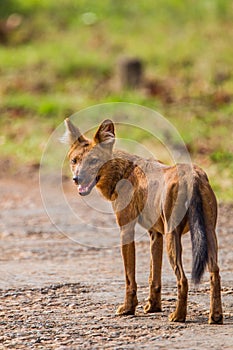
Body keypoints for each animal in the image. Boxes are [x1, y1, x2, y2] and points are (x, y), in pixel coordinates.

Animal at [62, 118, 223, 326]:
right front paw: (153, 307)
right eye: (74, 161)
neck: (122, 172)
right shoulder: (156, 234)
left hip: (173, 237)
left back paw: (178, 316)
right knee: (215, 274)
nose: (77, 179)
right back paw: (216, 316)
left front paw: (128, 309)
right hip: (209, 234)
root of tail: (193, 175)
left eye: (94, 161)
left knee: (183, 279)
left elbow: (130, 276)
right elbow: (154, 277)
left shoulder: (126, 229)